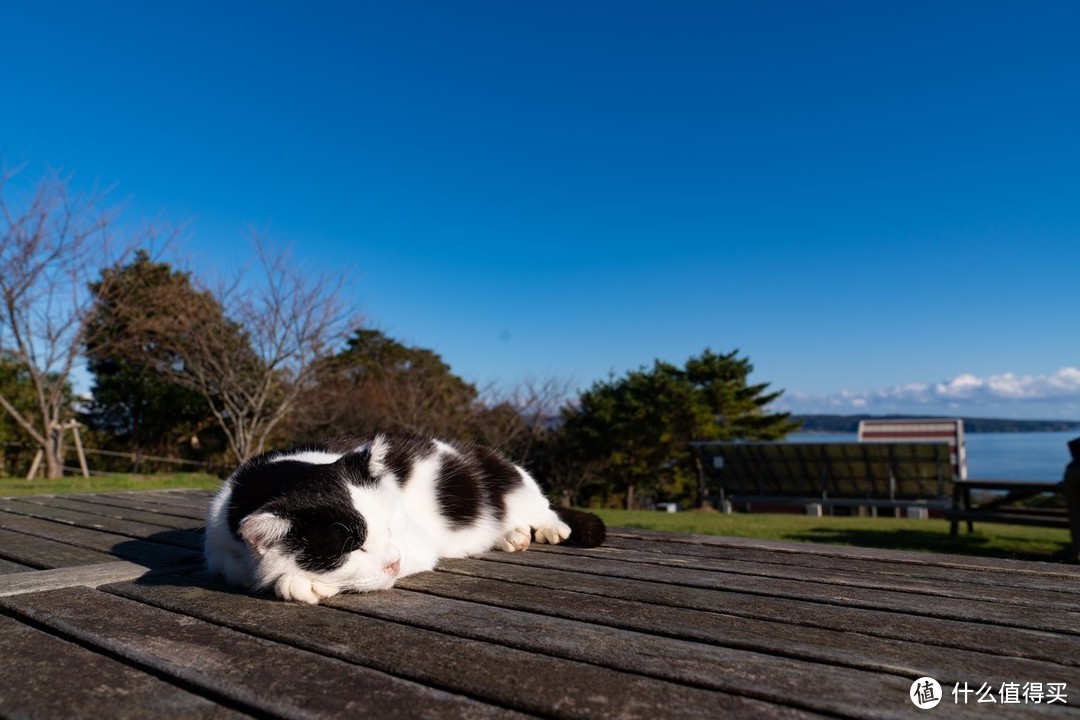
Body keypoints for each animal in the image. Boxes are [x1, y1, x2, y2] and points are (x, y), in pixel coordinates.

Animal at [204, 433, 609, 604]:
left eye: (389, 528)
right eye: (353, 548)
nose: (394, 563)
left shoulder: (417, 543)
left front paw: (297, 583)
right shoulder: (219, 540)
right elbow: (231, 567)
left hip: (515, 481)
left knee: (544, 508)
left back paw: (546, 528)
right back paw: (511, 535)